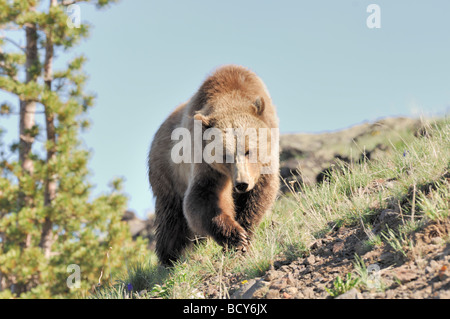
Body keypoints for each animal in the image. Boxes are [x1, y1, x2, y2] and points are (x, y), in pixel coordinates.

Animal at [148, 65, 280, 268]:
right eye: (225, 155)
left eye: (248, 151)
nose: (241, 183)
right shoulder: (206, 163)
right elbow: (201, 198)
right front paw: (235, 236)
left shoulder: (265, 162)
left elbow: (258, 195)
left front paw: (245, 230)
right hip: (167, 172)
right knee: (171, 218)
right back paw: (169, 258)